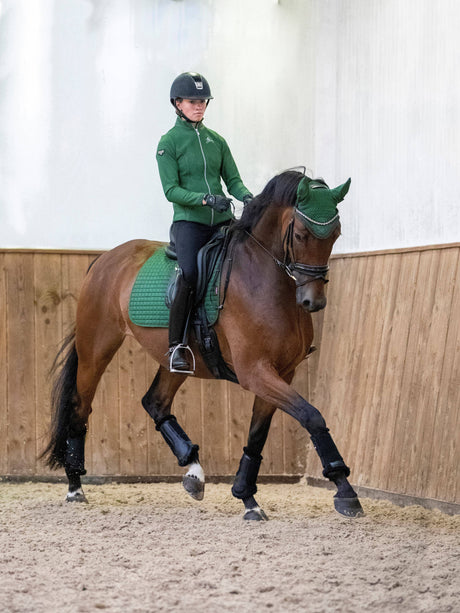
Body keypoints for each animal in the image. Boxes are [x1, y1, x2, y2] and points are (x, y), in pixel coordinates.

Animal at [43, 170, 364, 520]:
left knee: (155, 402)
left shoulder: (282, 372)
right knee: (79, 408)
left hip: (176, 360)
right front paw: (345, 491)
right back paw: (75, 486)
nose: (313, 302)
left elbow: (257, 436)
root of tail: (104, 258)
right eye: (303, 234)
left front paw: (247, 497)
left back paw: (194, 472)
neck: (264, 278)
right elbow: (312, 416)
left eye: (336, 234)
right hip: (95, 350)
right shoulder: (256, 372)